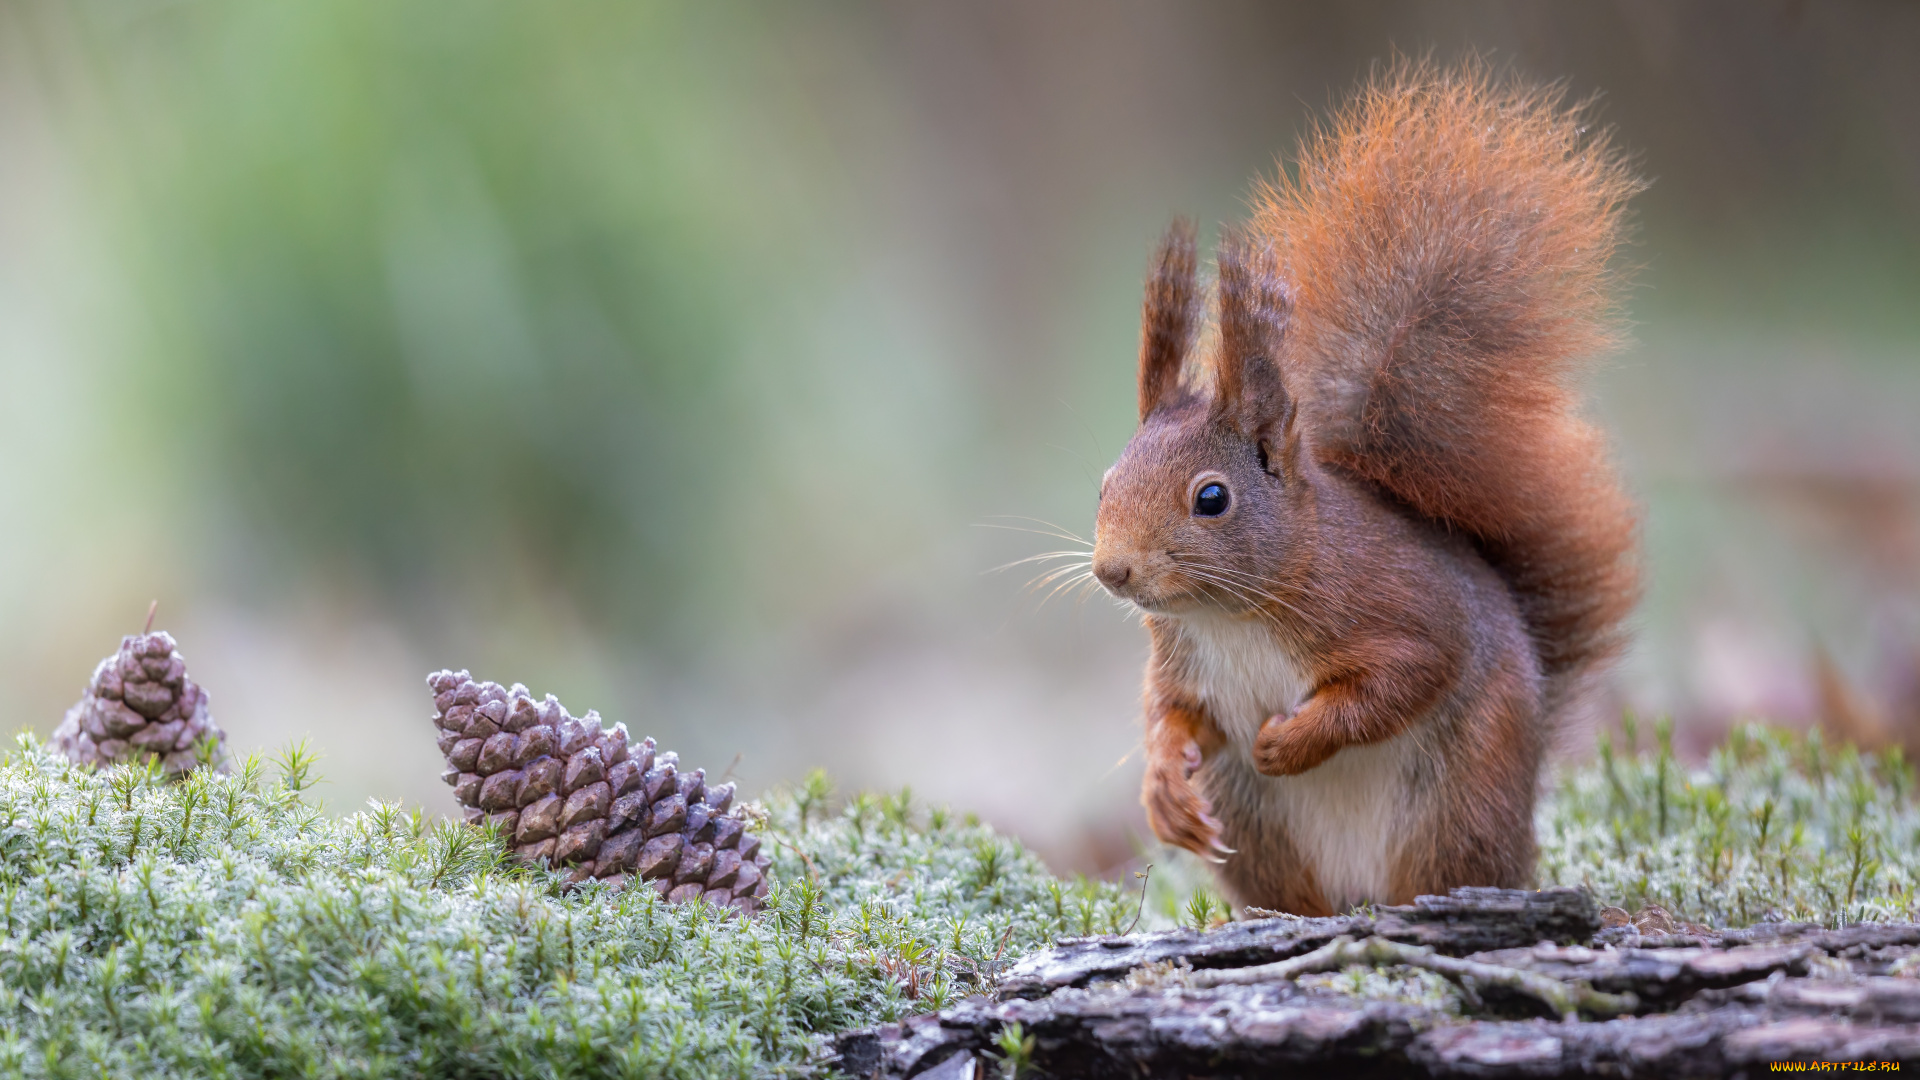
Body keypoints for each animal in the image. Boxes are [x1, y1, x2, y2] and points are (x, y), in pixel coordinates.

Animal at [1090, 62, 1643, 910]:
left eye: (1211, 498)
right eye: (1105, 481)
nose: (1112, 571)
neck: (1230, 617)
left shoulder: (1399, 608)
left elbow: (1403, 678)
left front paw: (1292, 740)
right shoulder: (1182, 663)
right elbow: (1172, 716)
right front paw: (1162, 789)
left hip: (1460, 799)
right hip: (1255, 825)